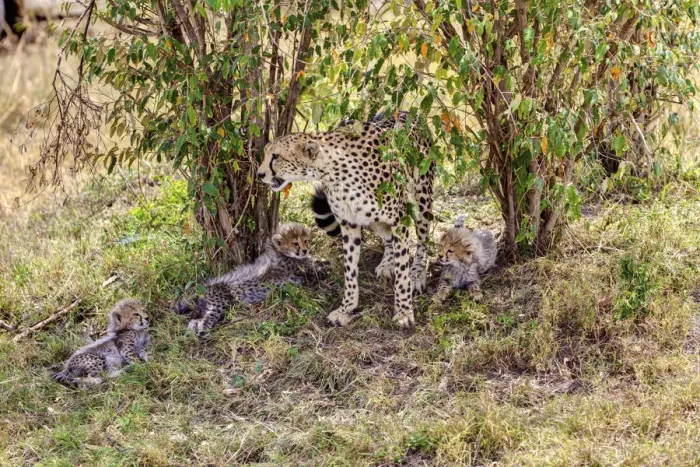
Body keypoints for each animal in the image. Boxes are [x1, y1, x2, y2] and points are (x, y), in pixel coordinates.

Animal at [175, 223, 328, 336]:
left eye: (306, 241)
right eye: (295, 243)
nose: (305, 250)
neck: (282, 253)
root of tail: (206, 286)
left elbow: (318, 263)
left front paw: (324, 261)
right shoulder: (303, 273)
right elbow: (318, 270)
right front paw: (325, 265)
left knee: (194, 320)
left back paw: (190, 331)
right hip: (220, 302)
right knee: (206, 318)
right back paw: (202, 330)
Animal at [257, 111, 435, 328]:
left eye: (276, 156)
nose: (260, 174)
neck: (332, 170)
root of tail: (409, 112)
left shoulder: (398, 220)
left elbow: (402, 273)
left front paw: (403, 311)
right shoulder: (349, 222)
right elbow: (349, 270)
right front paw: (346, 308)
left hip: (422, 195)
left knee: (423, 237)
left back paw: (417, 272)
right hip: (371, 219)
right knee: (387, 238)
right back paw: (387, 263)